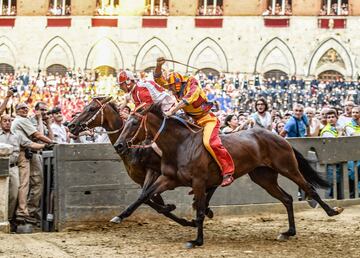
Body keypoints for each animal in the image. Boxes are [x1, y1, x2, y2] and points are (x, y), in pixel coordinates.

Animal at [67, 97, 201, 228]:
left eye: (92, 109)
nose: (71, 126)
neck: (134, 149)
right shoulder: (141, 180)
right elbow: (148, 199)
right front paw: (180, 216)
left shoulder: (154, 172)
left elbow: (144, 196)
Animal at [114, 104, 344, 248]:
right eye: (125, 120)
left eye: (133, 123)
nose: (119, 145)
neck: (180, 145)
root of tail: (279, 136)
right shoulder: (168, 179)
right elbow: (144, 196)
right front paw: (120, 216)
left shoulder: (198, 182)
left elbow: (199, 210)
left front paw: (196, 241)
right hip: (263, 177)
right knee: (287, 198)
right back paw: (288, 232)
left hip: (287, 168)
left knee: (309, 188)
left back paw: (332, 211)